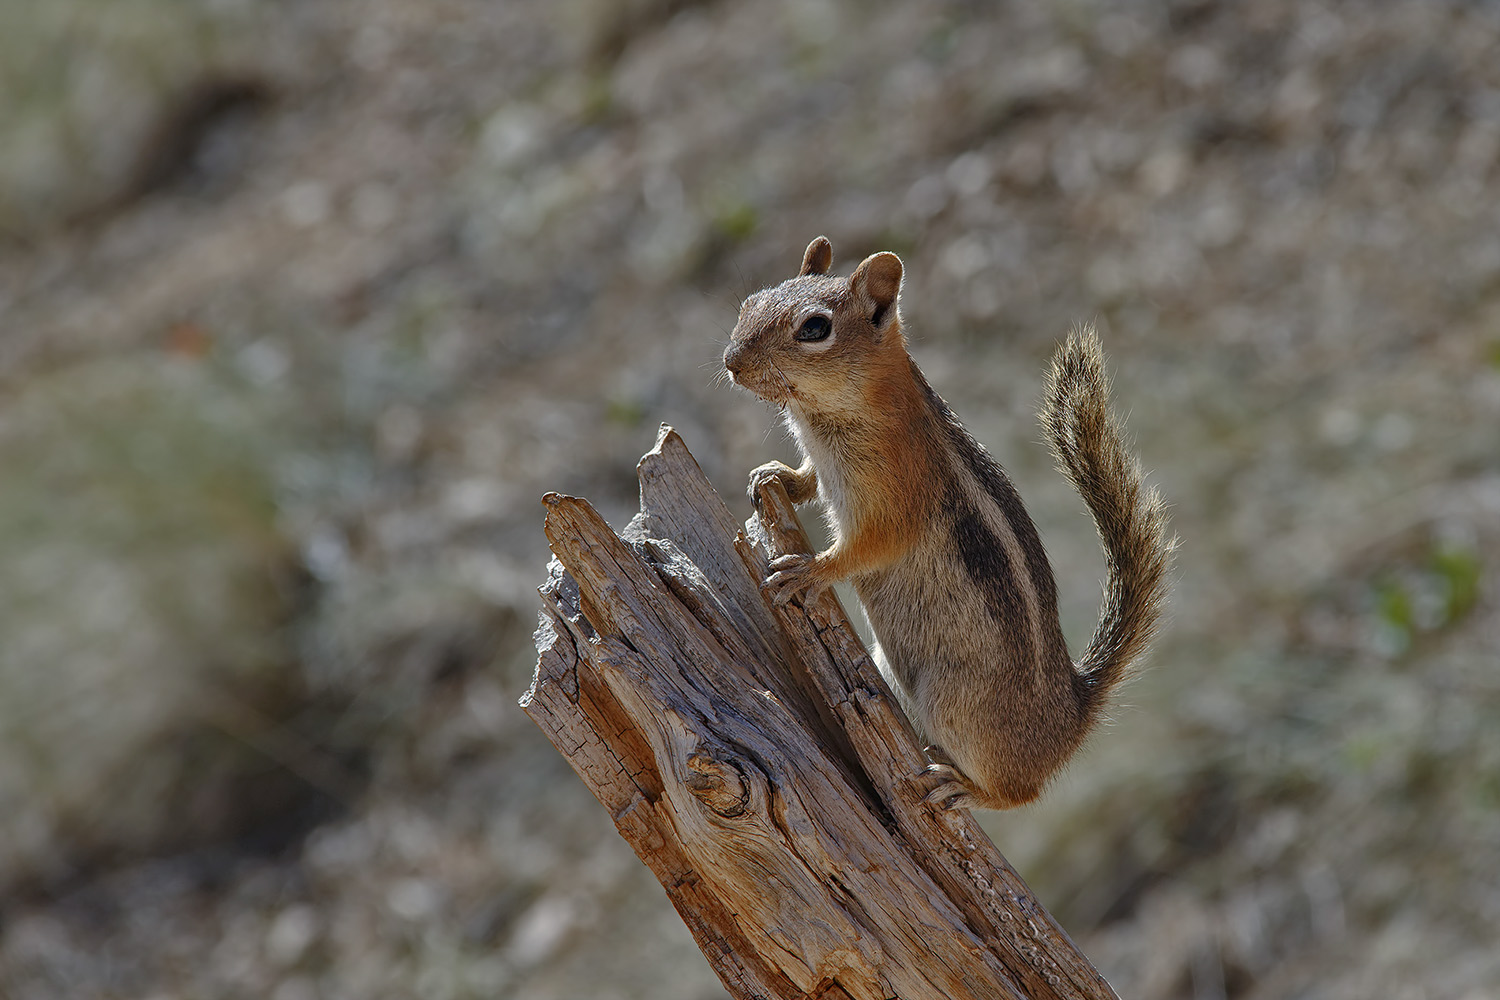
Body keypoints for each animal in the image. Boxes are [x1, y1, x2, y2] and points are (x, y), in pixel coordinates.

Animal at [722, 236, 1173, 810]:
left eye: (815, 328)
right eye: (749, 301)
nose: (732, 362)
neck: (831, 417)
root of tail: (1072, 714)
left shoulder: (897, 492)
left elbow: (869, 547)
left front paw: (808, 569)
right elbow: (807, 481)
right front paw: (774, 475)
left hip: (955, 704)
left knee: (1020, 793)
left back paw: (963, 786)